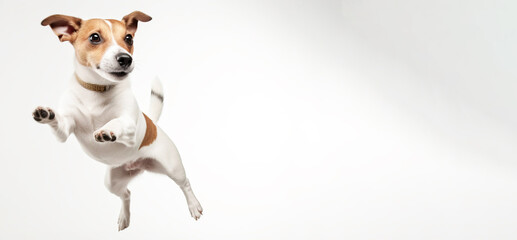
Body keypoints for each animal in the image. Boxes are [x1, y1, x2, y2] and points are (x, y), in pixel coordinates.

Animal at [32, 11, 204, 231]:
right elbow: (59, 122)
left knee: (185, 183)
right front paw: (46, 113)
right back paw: (124, 217)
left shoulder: (129, 126)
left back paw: (194, 206)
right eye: (95, 37)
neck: (97, 90)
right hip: (113, 182)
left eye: (129, 38)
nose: (125, 59)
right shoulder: (65, 130)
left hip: (173, 167)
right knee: (127, 194)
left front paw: (106, 131)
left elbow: (118, 122)